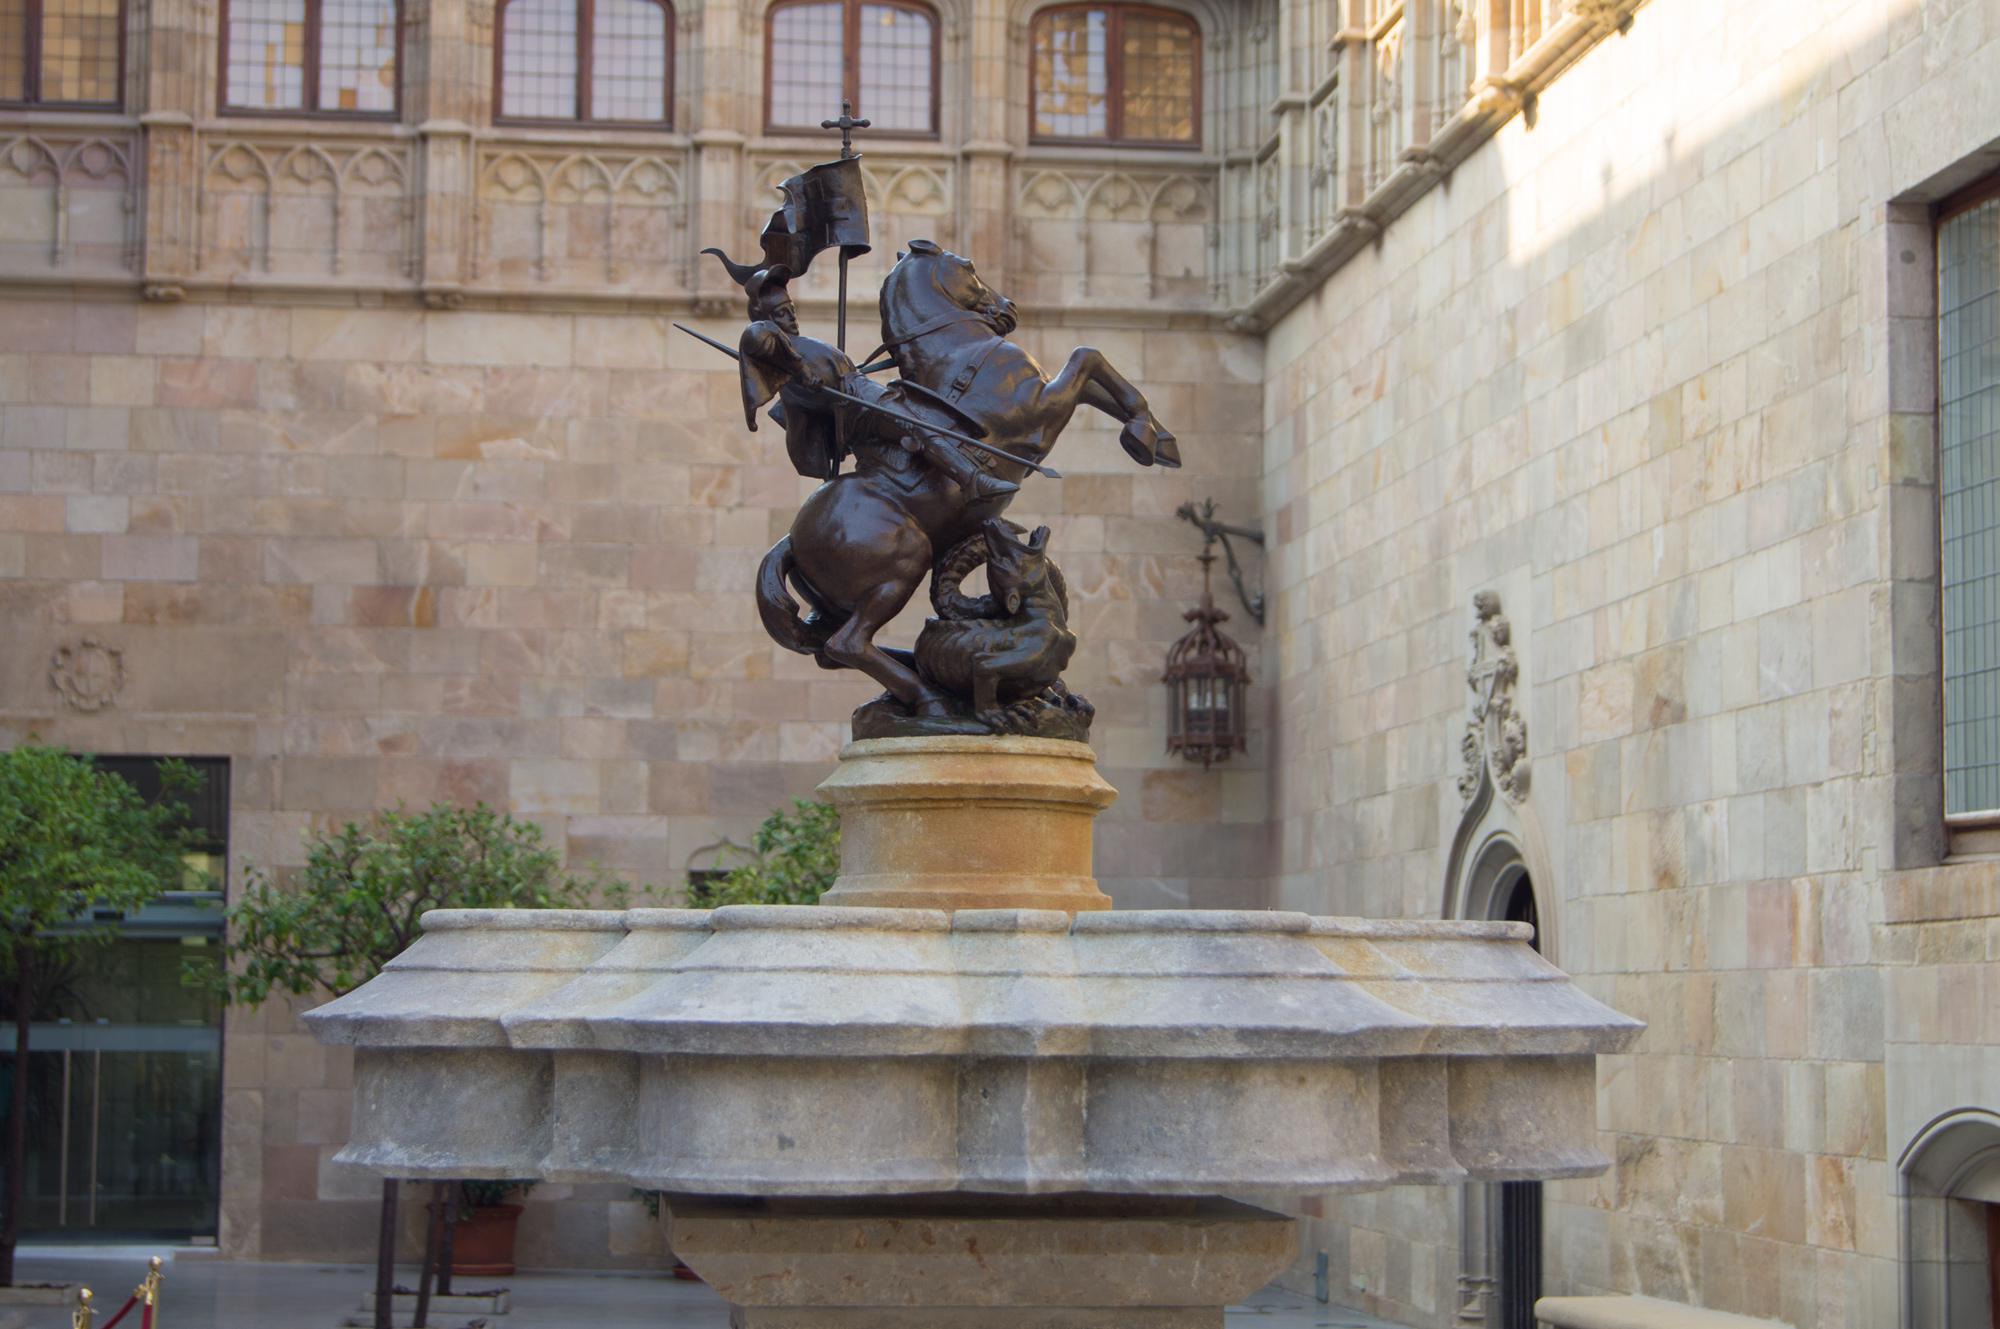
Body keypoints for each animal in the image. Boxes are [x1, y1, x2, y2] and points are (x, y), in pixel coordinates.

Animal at [756, 239, 1176, 716]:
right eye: (969, 266)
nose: (1009, 308)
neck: (958, 350)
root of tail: (790, 542)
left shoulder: (1050, 397)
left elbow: (1097, 382)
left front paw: (1159, 440)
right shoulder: (1043, 407)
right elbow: (1087, 356)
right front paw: (1143, 433)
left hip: (838, 600)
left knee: (830, 649)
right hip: (901, 568)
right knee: (848, 645)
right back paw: (932, 699)